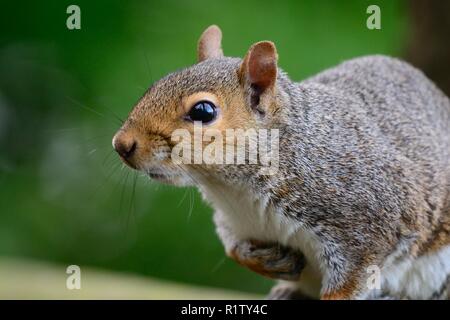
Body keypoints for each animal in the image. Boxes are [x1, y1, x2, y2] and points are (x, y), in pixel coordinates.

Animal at [111, 25, 450, 300]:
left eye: (203, 111)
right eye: (153, 87)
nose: (121, 144)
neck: (235, 190)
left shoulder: (365, 226)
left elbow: (353, 278)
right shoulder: (232, 220)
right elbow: (232, 247)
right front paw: (263, 259)